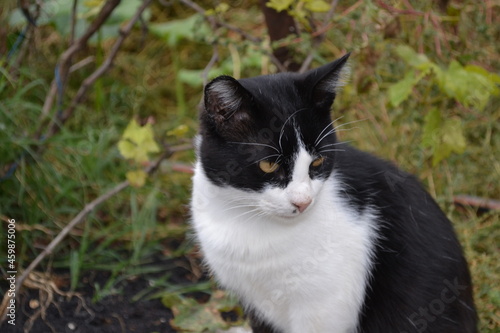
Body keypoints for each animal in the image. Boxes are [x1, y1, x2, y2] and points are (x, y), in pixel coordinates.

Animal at [190, 54, 476, 332]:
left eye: (317, 162)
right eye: (268, 165)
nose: (303, 202)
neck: (249, 222)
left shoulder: (325, 308)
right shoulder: (256, 304)